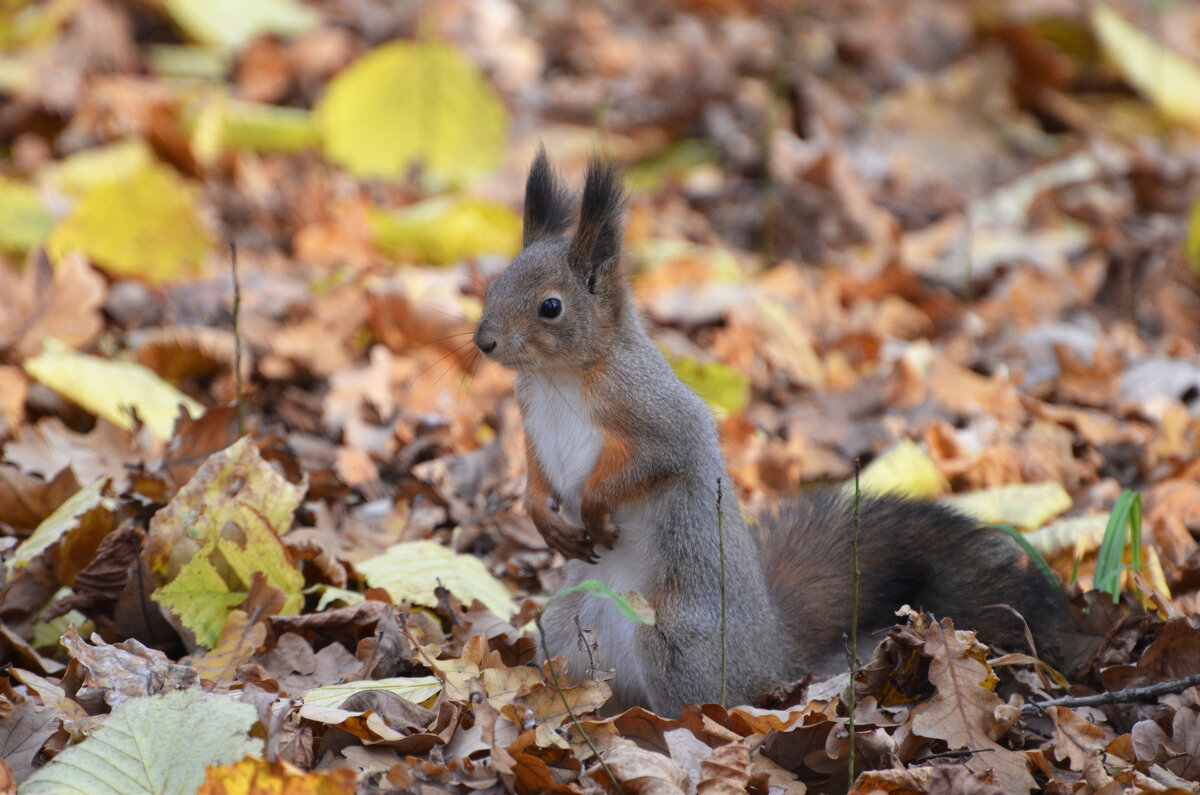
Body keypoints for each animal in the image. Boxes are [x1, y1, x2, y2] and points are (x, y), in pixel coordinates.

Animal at [470, 149, 1099, 715]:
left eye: (551, 307)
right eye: (493, 285)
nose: (483, 342)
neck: (558, 377)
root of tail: (771, 656)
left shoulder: (656, 416)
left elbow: (656, 461)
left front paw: (596, 505)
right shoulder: (531, 417)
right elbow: (534, 468)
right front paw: (540, 512)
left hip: (674, 644)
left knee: (697, 704)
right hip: (565, 628)